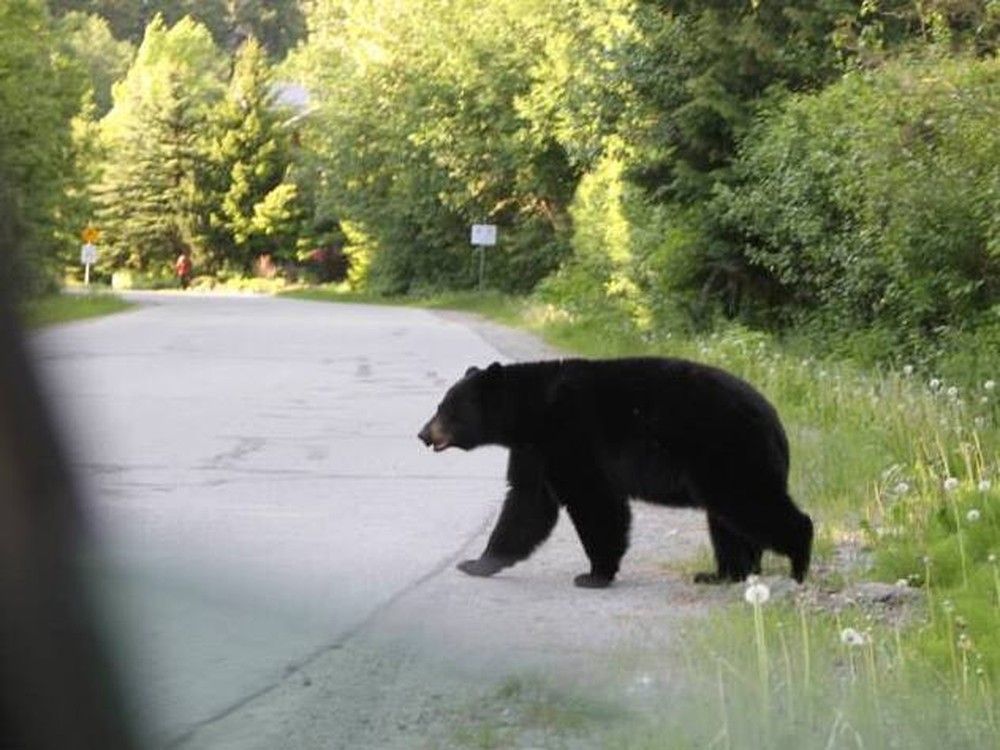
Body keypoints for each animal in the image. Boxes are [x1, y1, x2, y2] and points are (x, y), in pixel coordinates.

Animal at [417, 358, 813, 588]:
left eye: (446, 408)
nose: (422, 433)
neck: (531, 409)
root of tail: (775, 421)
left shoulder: (571, 434)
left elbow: (593, 501)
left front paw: (594, 574)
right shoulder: (536, 449)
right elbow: (527, 503)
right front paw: (478, 563)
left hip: (730, 453)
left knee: (753, 506)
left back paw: (798, 566)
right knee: (727, 523)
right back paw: (724, 575)